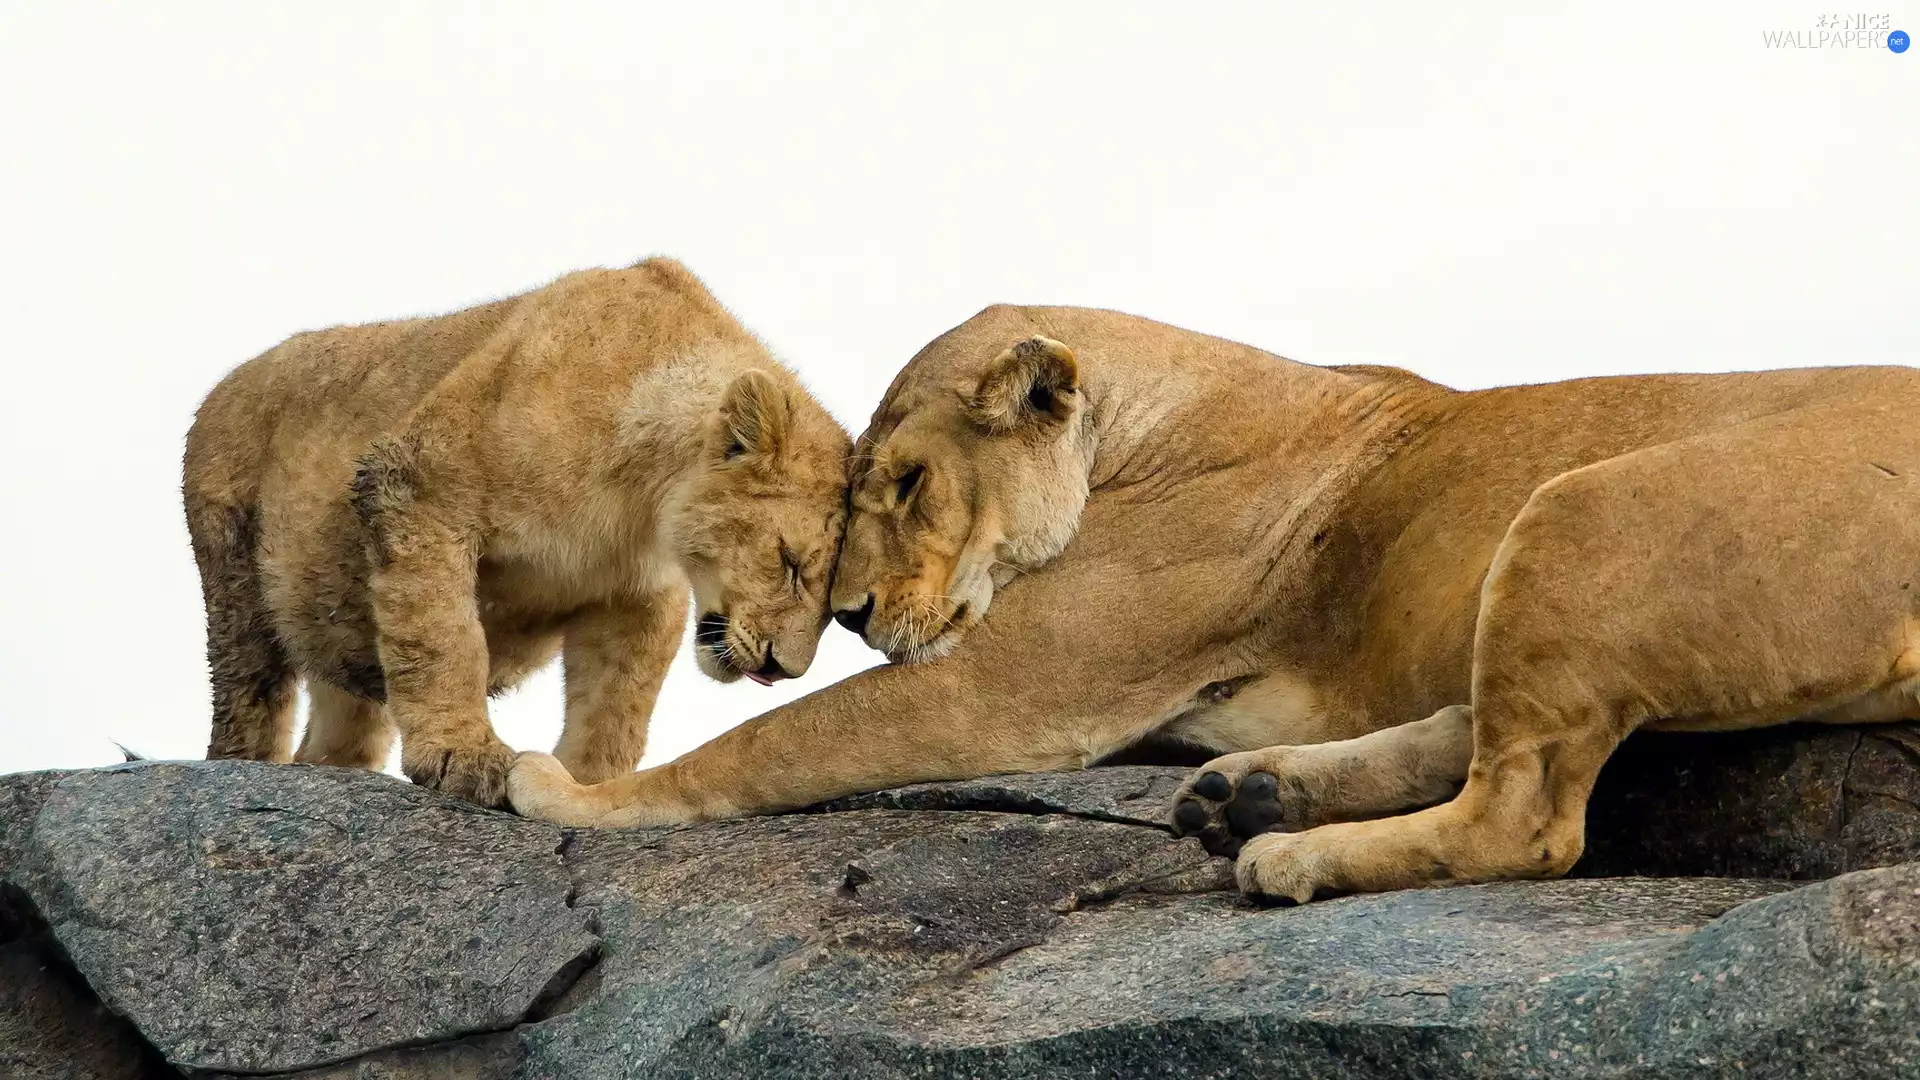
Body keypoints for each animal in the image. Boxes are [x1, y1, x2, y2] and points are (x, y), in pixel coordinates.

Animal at [184, 258, 850, 807]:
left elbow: (615, 707)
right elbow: (443, 637)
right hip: (233, 564)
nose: (784, 669)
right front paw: (464, 759)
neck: (639, 495)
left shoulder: (637, 591)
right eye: (789, 561)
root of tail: (227, 380)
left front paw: (579, 790)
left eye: (833, 609)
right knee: (250, 696)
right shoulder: (416, 486)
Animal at [509, 303, 1920, 902]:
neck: (1152, 418)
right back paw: (1254, 793)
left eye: (906, 482)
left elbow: (773, 739)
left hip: (1583, 502)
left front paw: (572, 796)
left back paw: (1282, 851)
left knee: (1527, 825)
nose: (850, 612)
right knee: (1488, 736)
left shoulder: (1016, 688)